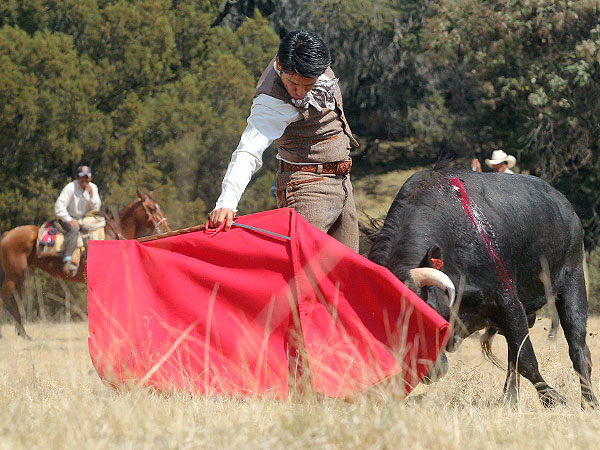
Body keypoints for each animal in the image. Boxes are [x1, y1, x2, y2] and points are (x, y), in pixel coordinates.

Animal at [0, 190, 170, 338]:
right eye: (152, 208)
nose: (165, 227)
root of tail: (8, 234)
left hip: (23, 276)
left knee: (16, 301)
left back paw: (24, 334)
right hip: (12, 276)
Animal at [368, 168, 596, 408]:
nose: (431, 371)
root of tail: (565, 205)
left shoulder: (508, 303)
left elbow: (526, 360)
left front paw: (553, 398)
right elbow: (518, 356)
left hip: (572, 282)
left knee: (578, 347)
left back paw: (589, 401)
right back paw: (510, 399)